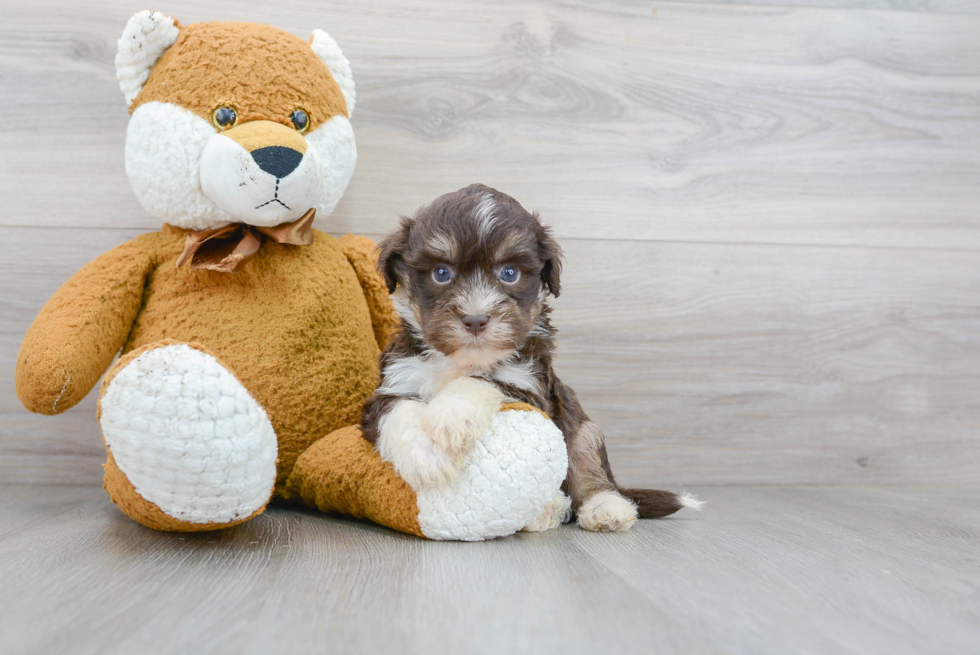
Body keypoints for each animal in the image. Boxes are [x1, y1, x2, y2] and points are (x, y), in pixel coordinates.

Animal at [362, 184, 704, 532]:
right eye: (441, 273)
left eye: (509, 273)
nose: (475, 319)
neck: (462, 360)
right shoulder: (396, 378)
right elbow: (398, 410)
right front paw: (427, 455)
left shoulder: (530, 385)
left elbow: (484, 380)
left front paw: (450, 416)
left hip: (583, 430)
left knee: (589, 469)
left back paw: (603, 508)